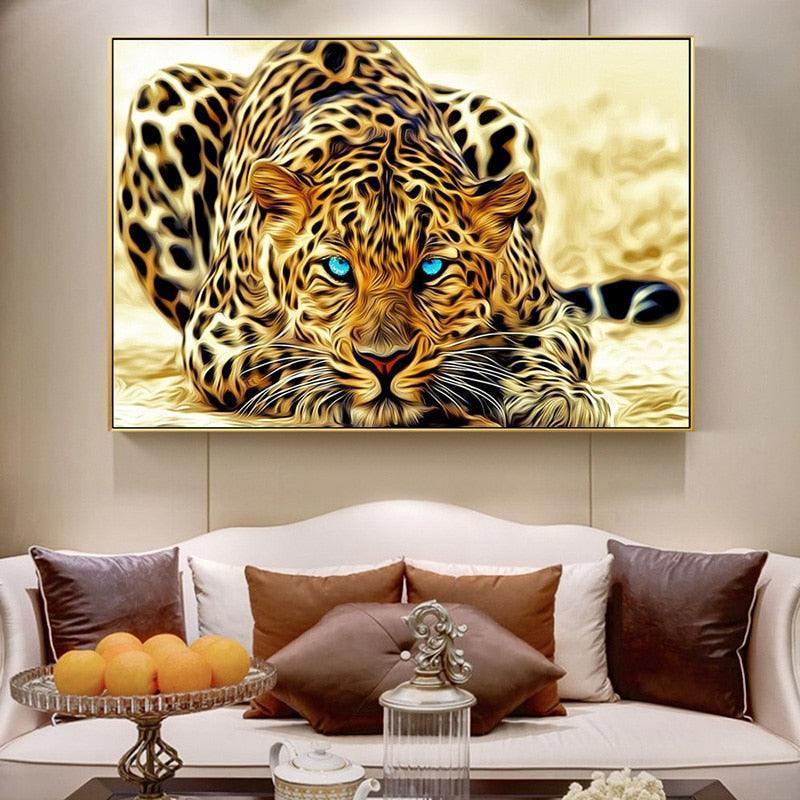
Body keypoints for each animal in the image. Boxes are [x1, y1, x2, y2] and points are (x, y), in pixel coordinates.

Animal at [117, 38, 679, 427]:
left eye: (432, 268)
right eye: (338, 268)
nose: (383, 363)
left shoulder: (552, 315)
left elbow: (535, 348)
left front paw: (556, 396)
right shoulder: (213, 333)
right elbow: (277, 357)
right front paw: (327, 391)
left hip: (499, 116)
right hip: (163, 93)